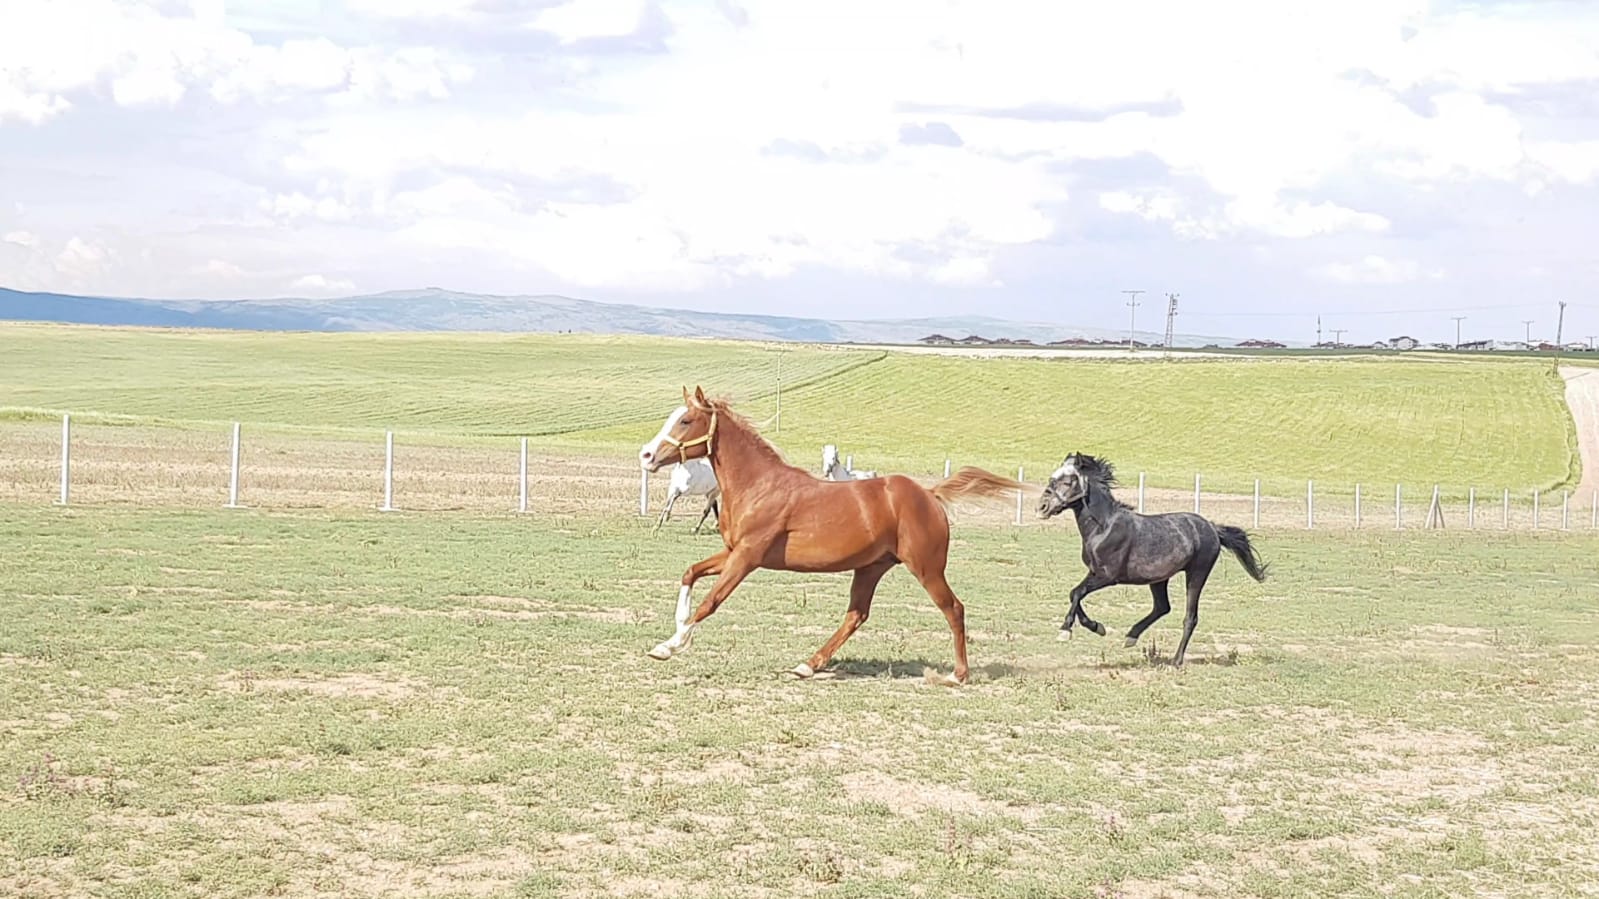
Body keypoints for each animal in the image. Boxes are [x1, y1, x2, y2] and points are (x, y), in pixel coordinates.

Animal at [636, 380, 1023, 681]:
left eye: (686, 420)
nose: (646, 456)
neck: (758, 485)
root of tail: (929, 494)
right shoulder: (733, 552)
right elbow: (690, 573)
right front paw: (677, 628)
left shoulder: (747, 557)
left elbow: (711, 602)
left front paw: (669, 645)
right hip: (871, 567)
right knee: (856, 615)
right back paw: (808, 665)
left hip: (927, 568)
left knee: (953, 608)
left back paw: (958, 675)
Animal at [1042, 451, 1266, 662]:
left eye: (1068, 481)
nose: (1043, 507)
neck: (1103, 527)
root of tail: (1212, 527)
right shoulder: (1093, 572)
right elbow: (1074, 594)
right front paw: (1097, 627)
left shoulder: (1107, 576)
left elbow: (1078, 593)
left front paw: (1065, 631)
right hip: (1158, 579)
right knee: (1162, 607)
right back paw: (1131, 637)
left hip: (1197, 574)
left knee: (1190, 617)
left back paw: (1176, 660)